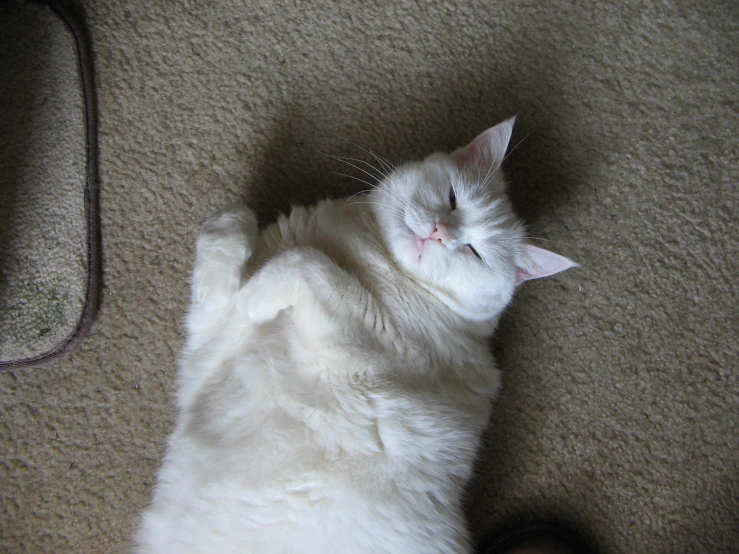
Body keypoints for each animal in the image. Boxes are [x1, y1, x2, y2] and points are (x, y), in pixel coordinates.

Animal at [137, 118, 580, 552]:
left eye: (475, 252)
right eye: (453, 198)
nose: (441, 233)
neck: (373, 254)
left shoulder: (364, 344)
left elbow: (302, 263)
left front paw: (253, 296)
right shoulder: (206, 344)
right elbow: (232, 222)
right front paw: (241, 267)